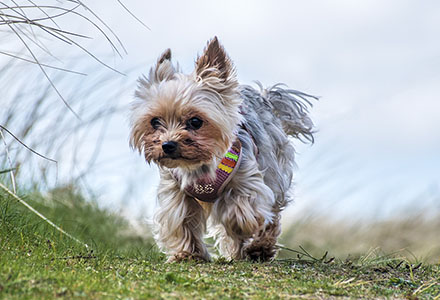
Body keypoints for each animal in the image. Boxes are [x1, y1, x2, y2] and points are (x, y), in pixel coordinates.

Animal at [129, 37, 314, 262]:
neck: (198, 166)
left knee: (273, 213)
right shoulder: (176, 191)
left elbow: (241, 210)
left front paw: (240, 227)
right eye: (155, 122)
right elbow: (181, 220)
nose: (168, 145)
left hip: (272, 168)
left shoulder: (246, 179)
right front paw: (187, 253)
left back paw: (260, 247)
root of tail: (264, 97)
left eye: (196, 121)